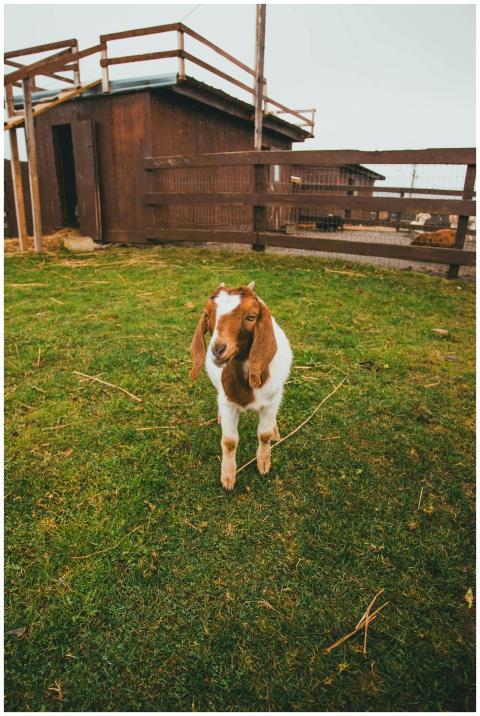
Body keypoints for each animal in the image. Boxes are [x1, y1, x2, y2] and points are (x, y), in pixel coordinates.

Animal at [189, 282, 292, 490]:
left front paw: (263, 463)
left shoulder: (271, 402)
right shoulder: (228, 403)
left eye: (251, 316)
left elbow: (264, 434)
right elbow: (229, 441)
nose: (218, 350)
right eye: (207, 315)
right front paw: (228, 477)